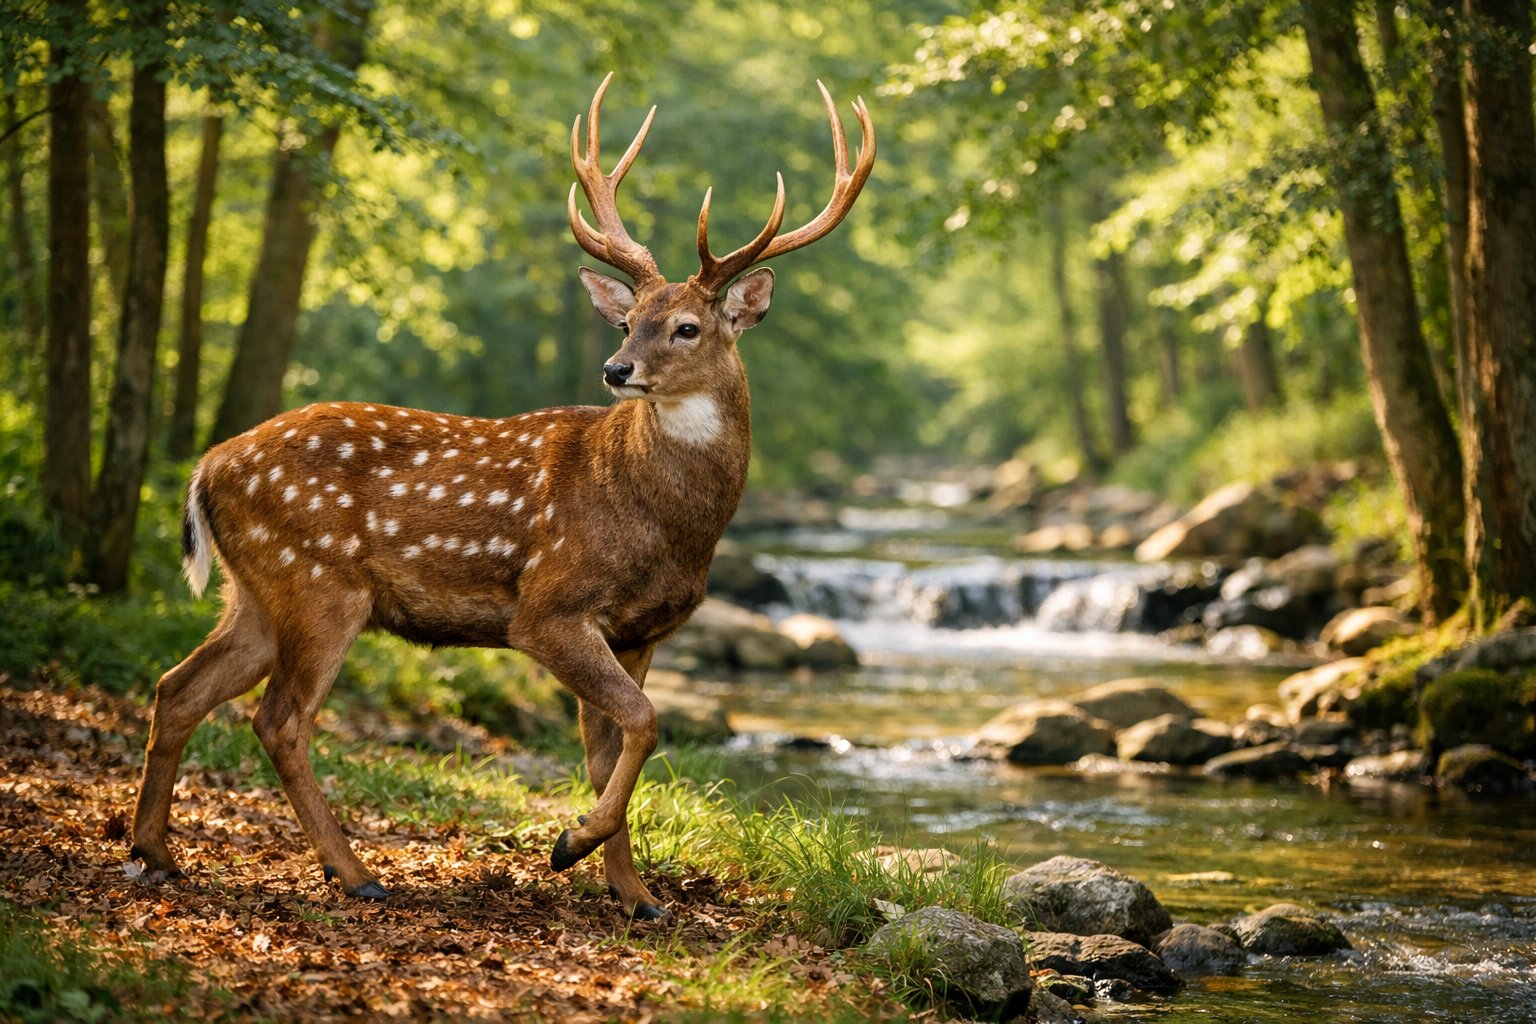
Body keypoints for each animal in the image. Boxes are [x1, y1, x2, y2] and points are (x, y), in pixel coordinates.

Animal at [128, 74, 874, 920]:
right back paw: (354, 872)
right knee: (280, 718)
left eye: (685, 326)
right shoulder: (548, 607)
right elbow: (646, 722)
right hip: (319, 581)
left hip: (255, 593)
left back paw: (155, 851)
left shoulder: (642, 631)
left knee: (178, 687)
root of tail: (206, 467)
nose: (616, 369)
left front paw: (635, 894)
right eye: (627, 319)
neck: (665, 524)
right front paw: (570, 846)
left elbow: (612, 748)